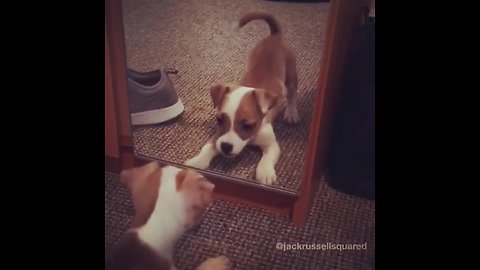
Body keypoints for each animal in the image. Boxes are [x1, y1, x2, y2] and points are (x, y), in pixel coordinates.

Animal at [186, 10, 298, 185]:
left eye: (247, 125)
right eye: (219, 120)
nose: (225, 146)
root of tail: (275, 35)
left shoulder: (272, 145)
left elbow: (266, 159)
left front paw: (265, 172)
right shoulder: (217, 136)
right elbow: (207, 148)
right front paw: (197, 161)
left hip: (292, 75)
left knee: (292, 94)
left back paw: (292, 113)